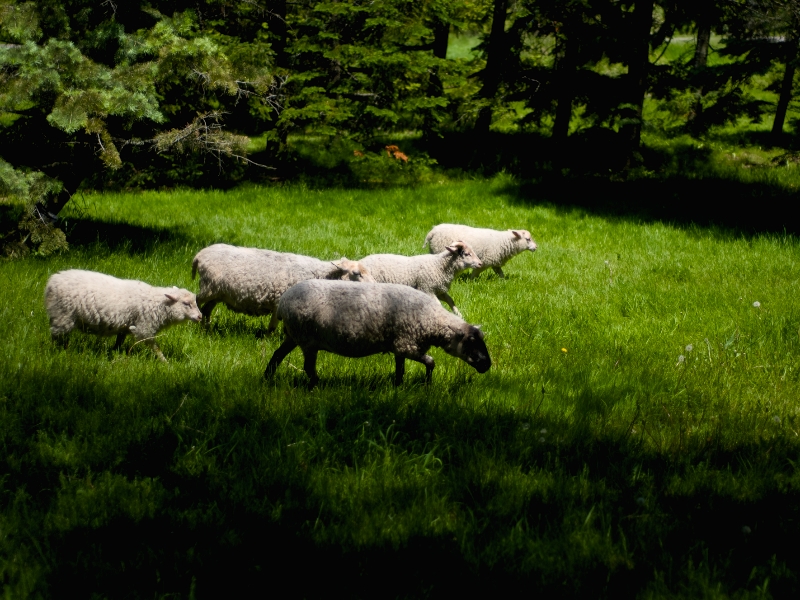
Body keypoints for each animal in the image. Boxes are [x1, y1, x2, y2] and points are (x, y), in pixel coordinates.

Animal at [43, 270, 202, 360]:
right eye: (186, 303)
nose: (200, 317)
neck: (158, 303)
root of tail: (51, 282)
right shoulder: (144, 328)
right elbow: (155, 347)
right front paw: (165, 362)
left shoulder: (125, 326)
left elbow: (119, 341)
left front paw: (115, 353)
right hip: (63, 315)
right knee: (56, 335)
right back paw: (59, 351)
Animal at [191, 243, 376, 332]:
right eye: (356, 273)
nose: (376, 286)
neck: (320, 274)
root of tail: (200, 255)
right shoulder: (280, 301)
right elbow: (273, 325)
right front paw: (268, 338)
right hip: (208, 288)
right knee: (197, 302)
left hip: (218, 293)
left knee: (207, 310)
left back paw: (206, 329)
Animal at [264, 280, 488, 390]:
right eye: (471, 341)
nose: (488, 365)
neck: (431, 320)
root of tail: (283, 302)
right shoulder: (407, 345)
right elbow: (431, 362)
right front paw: (428, 385)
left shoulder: (400, 347)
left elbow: (400, 370)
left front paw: (398, 387)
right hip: (307, 340)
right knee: (307, 367)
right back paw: (315, 385)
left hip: (294, 336)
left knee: (277, 355)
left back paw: (266, 378)